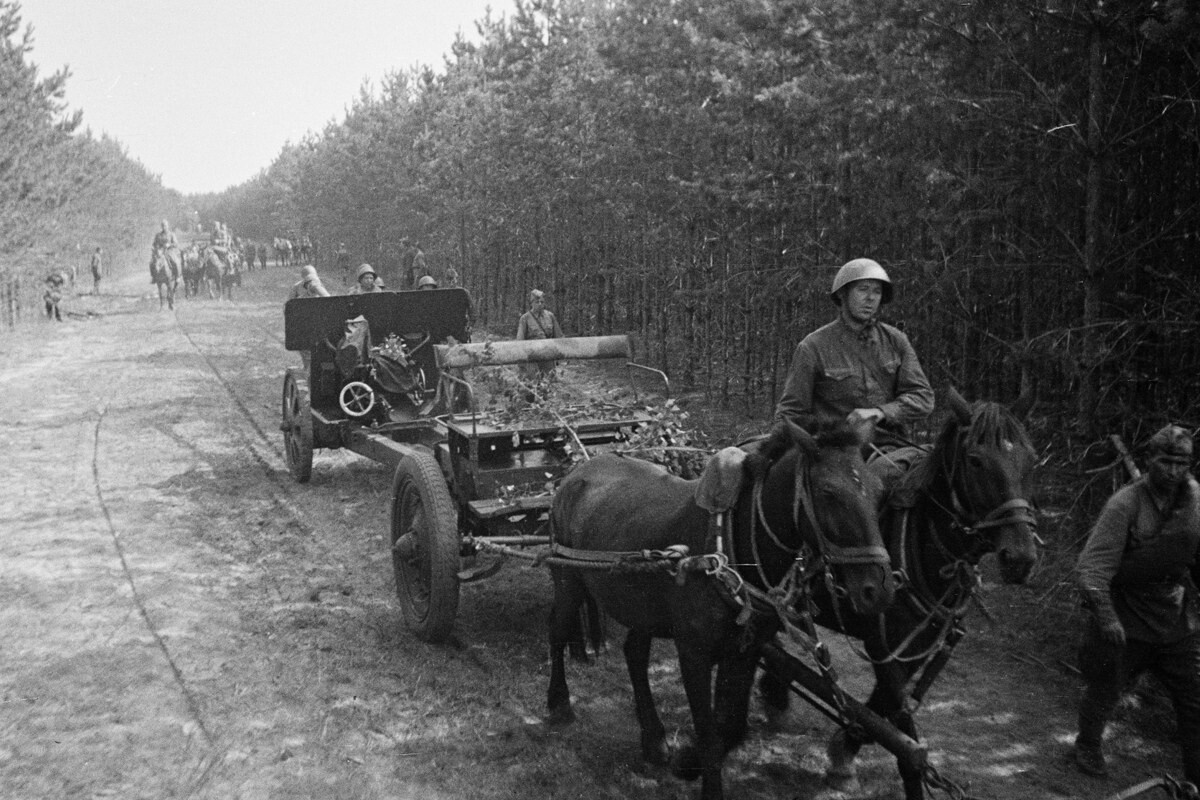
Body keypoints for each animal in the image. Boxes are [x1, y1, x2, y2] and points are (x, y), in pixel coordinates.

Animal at [549, 419, 897, 800]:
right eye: (828, 492)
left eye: (879, 492)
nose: (878, 590)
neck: (730, 547)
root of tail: (580, 470)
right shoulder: (694, 653)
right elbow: (710, 732)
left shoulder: (745, 649)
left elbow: (729, 725)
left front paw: (687, 763)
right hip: (568, 580)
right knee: (558, 632)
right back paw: (559, 705)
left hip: (642, 605)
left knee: (635, 653)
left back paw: (654, 740)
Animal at [758, 383, 1041, 796]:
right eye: (975, 461)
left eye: (1030, 460)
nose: (1020, 557)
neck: (926, 544)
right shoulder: (884, 646)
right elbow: (904, 737)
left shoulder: (916, 648)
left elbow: (883, 710)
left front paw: (845, 750)